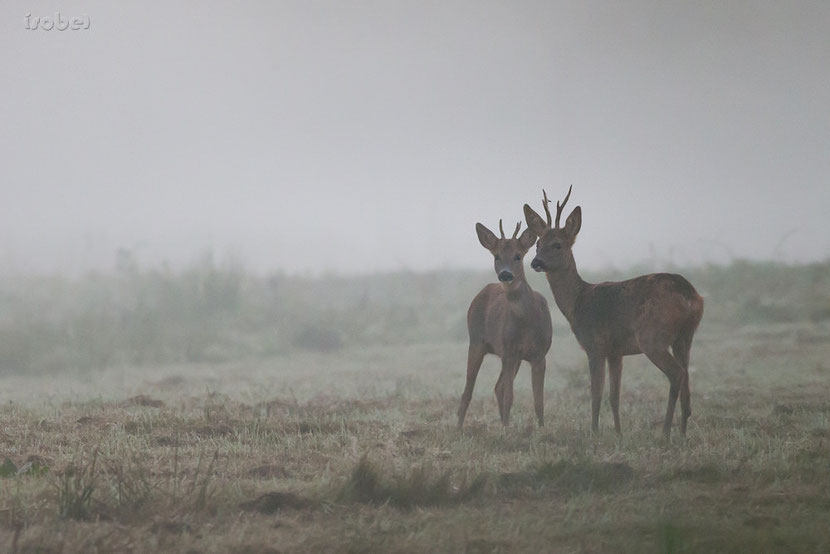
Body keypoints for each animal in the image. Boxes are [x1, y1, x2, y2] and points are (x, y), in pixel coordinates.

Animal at [458, 218, 556, 424]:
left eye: (518, 256)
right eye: (496, 256)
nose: (505, 274)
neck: (527, 322)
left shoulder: (539, 354)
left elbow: (539, 401)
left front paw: (542, 428)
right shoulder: (509, 351)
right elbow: (509, 396)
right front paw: (507, 430)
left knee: (497, 387)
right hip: (477, 342)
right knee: (469, 391)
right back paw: (459, 428)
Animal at [528, 188, 704, 438]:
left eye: (558, 244)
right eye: (537, 244)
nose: (536, 262)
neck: (577, 302)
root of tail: (690, 294)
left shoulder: (594, 345)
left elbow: (595, 394)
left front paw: (594, 433)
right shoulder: (615, 352)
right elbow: (614, 396)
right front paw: (619, 434)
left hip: (652, 337)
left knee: (676, 373)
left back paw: (665, 433)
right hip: (685, 336)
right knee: (687, 383)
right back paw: (681, 433)